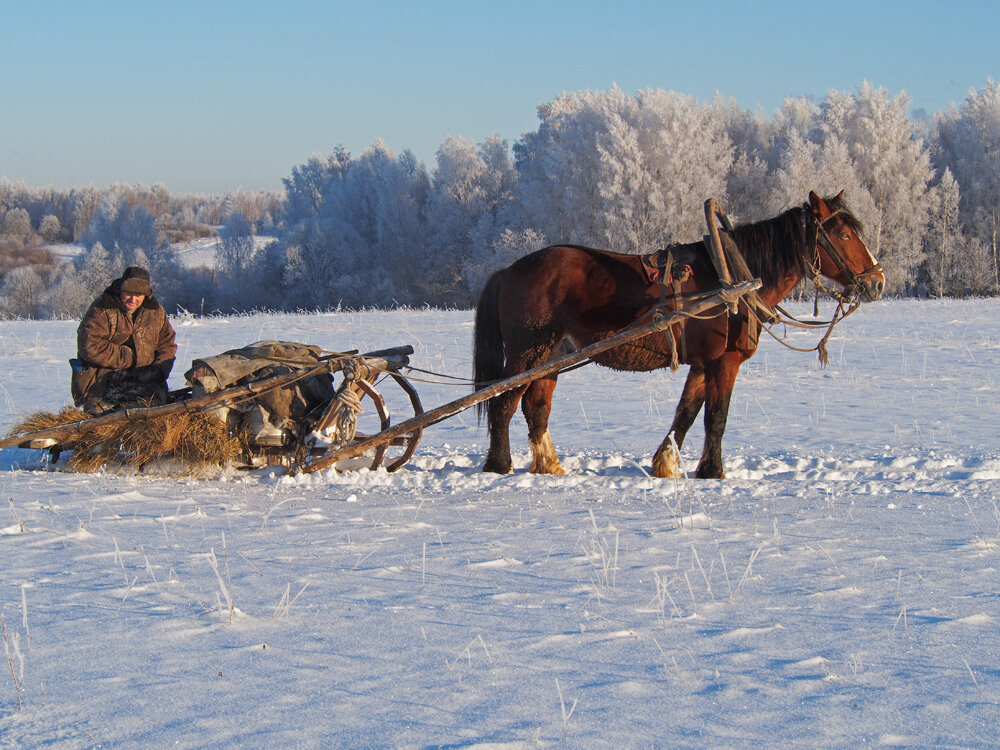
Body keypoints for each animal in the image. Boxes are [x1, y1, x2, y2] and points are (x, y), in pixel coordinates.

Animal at [474, 191, 884, 478]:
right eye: (844, 234)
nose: (877, 282)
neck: (733, 277)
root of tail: (509, 270)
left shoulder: (703, 365)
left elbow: (686, 413)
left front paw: (666, 464)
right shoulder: (725, 362)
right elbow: (716, 418)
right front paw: (713, 472)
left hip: (553, 356)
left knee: (535, 408)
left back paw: (549, 466)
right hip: (528, 353)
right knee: (503, 404)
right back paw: (499, 465)